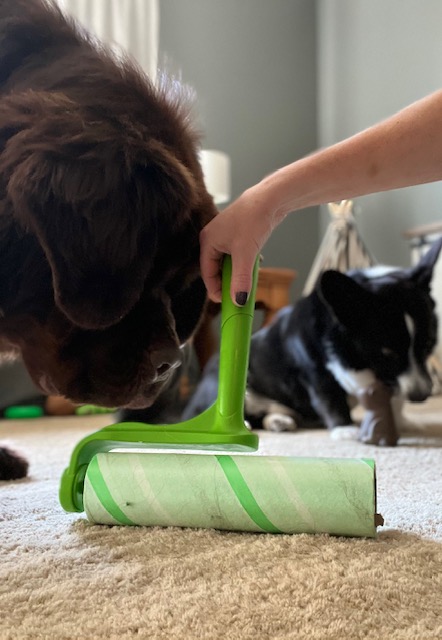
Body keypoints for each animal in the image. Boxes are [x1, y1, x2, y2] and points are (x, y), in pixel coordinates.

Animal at [183, 238, 442, 442]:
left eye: (429, 344)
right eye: (386, 352)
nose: (421, 396)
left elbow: (394, 399)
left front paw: (402, 421)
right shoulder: (316, 373)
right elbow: (331, 398)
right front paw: (345, 429)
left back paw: (278, 421)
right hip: (223, 384)